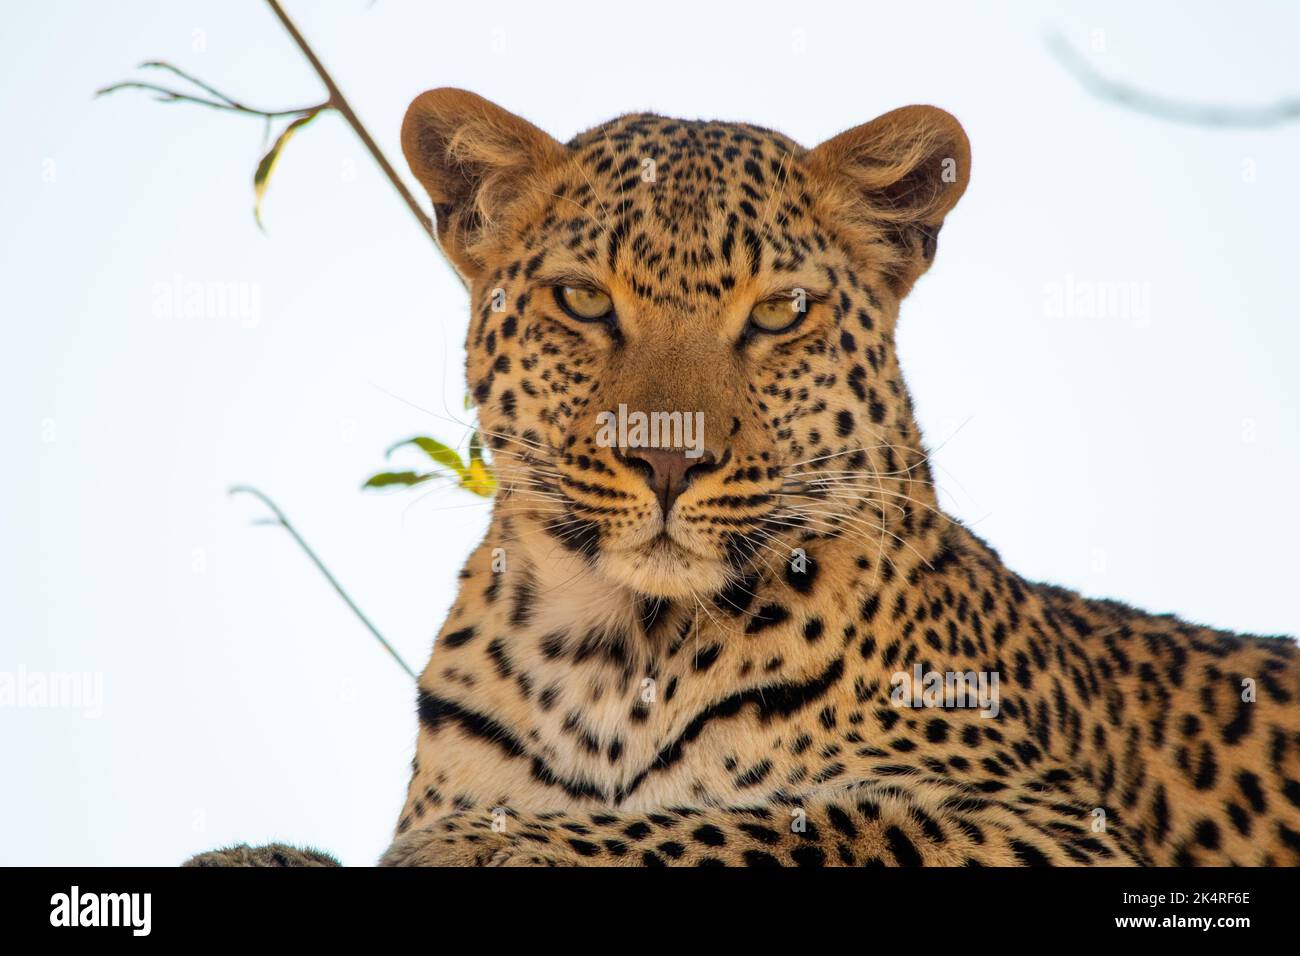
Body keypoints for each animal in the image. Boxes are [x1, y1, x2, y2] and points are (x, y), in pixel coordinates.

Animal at [188, 88, 1300, 868]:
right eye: (583, 300)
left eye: (778, 311)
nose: (668, 457)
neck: (613, 652)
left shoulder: (1048, 822)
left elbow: (774, 819)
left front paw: (482, 844)